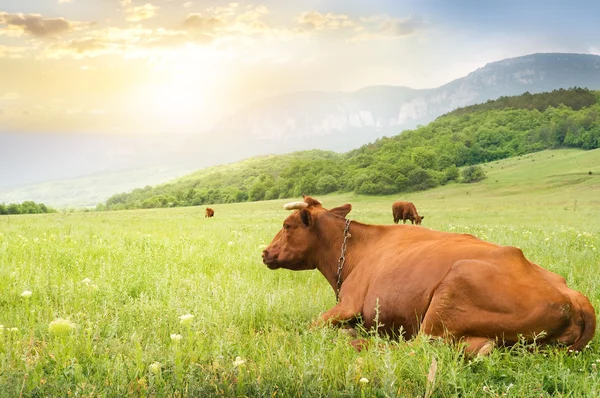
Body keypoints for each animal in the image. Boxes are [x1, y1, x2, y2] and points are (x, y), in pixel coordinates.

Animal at [262, 197, 596, 356]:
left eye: (288, 225)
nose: (265, 252)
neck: (353, 253)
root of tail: (574, 297)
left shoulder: (348, 304)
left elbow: (307, 326)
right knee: (478, 347)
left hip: (448, 295)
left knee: (418, 346)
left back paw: (355, 341)